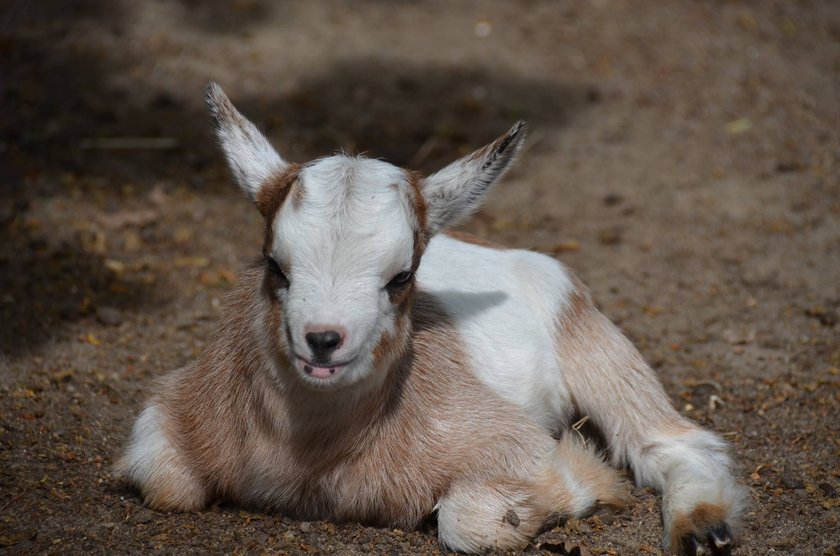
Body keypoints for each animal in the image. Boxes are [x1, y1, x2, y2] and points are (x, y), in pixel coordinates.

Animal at [115, 83, 744, 556]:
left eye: (401, 277)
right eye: (274, 264)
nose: (323, 342)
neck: (311, 453)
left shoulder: (513, 445)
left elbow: (474, 521)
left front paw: (587, 481)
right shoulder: (171, 418)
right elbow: (163, 480)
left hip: (594, 344)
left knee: (670, 441)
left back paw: (702, 529)